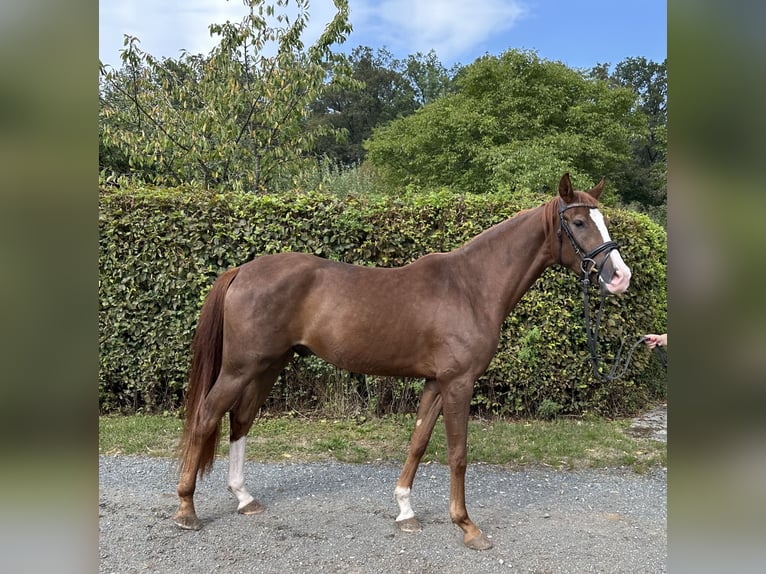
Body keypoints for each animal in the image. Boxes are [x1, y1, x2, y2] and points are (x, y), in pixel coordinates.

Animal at [177, 173, 632, 552]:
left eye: (603, 219)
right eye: (579, 223)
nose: (620, 277)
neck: (471, 287)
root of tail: (241, 270)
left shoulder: (435, 382)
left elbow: (418, 442)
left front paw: (406, 511)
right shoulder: (458, 382)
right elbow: (457, 452)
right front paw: (467, 526)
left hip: (267, 366)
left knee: (240, 420)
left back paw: (244, 498)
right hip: (241, 367)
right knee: (206, 417)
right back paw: (186, 510)